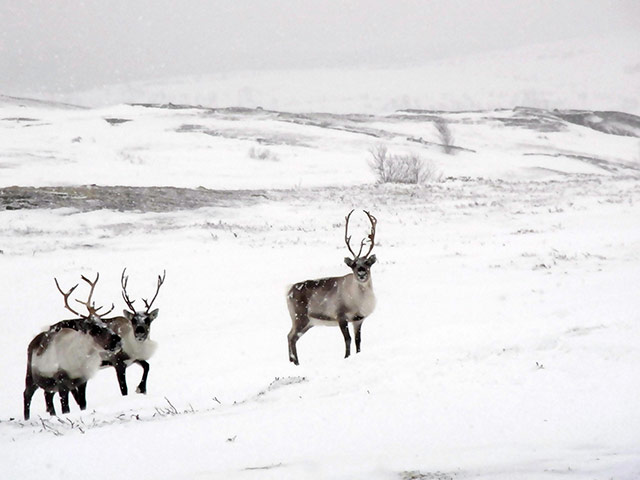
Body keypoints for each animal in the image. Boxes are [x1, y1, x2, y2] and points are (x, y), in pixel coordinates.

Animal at [24, 273, 122, 420]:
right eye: (94, 329)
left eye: (104, 324)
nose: (117, 340)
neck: (80, 360)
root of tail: (33, 341)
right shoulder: (62, 382)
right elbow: (66, 408)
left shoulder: (82, 381)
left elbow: (83, 404)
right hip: (32, 377)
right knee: (27, 394)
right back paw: (27, 418)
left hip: (49, 385)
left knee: (47, 396)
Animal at [287, 210, 378, 365]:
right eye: (353, 264)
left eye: (367, 263)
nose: (361, 273)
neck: (359, 300)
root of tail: (289, 290)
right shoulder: (341, 316)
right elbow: (348, 339)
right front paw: (346, 357)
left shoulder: (358, 320)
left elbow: (358, 341)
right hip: (300, 318)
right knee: (292, 337)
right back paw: (296, 363)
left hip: (308, 322)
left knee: (289, 336)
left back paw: (292, 362)